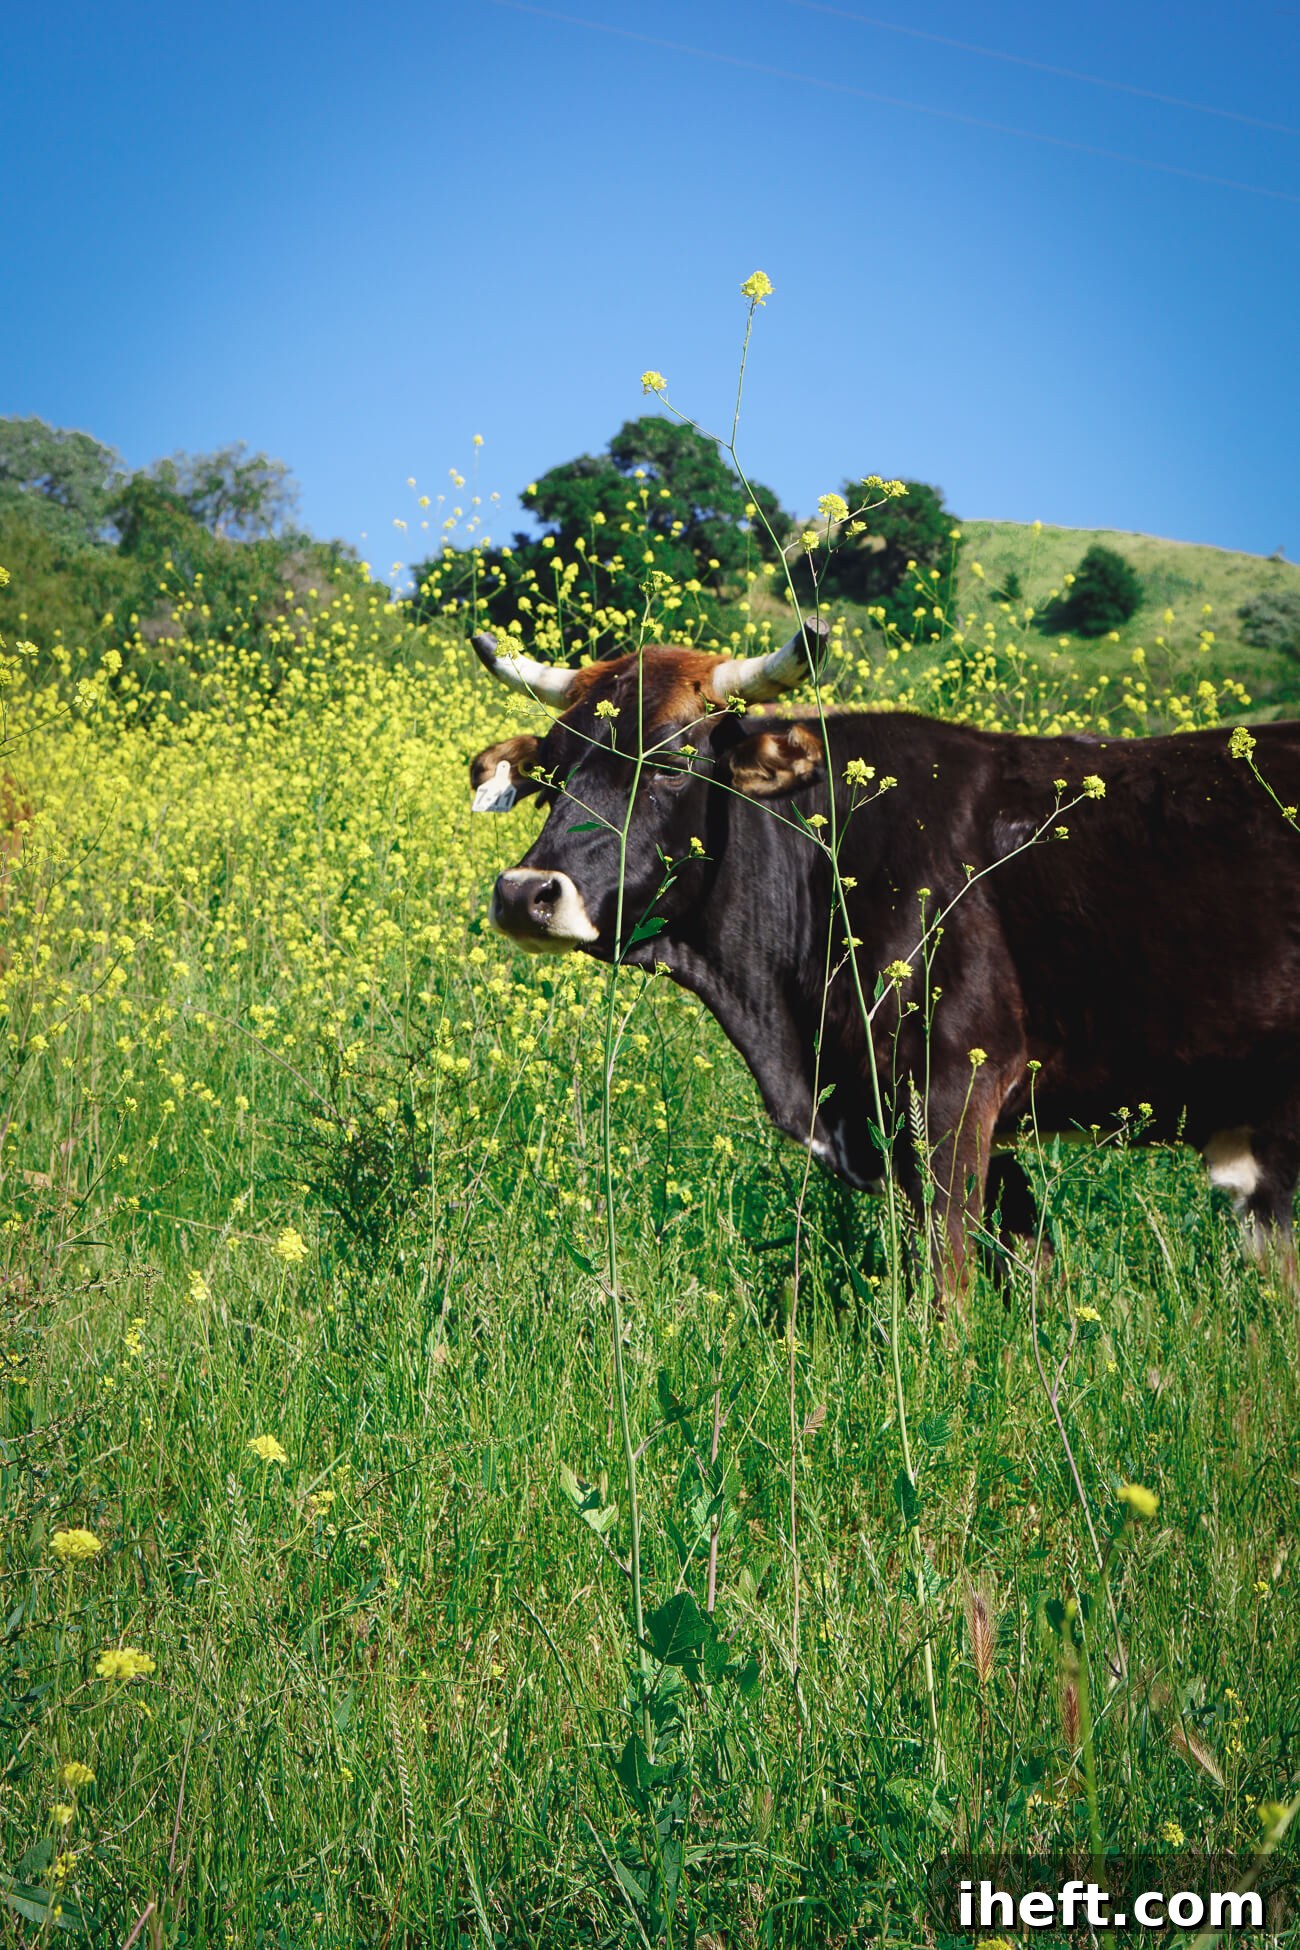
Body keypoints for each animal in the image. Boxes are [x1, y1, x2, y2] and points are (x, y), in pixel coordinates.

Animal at [467, 621, 1300, 1302]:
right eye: (549, 771)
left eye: (671, 762)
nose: (525, 892)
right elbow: (1031, 1271)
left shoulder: (954, 1089)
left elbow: (947, 1289)